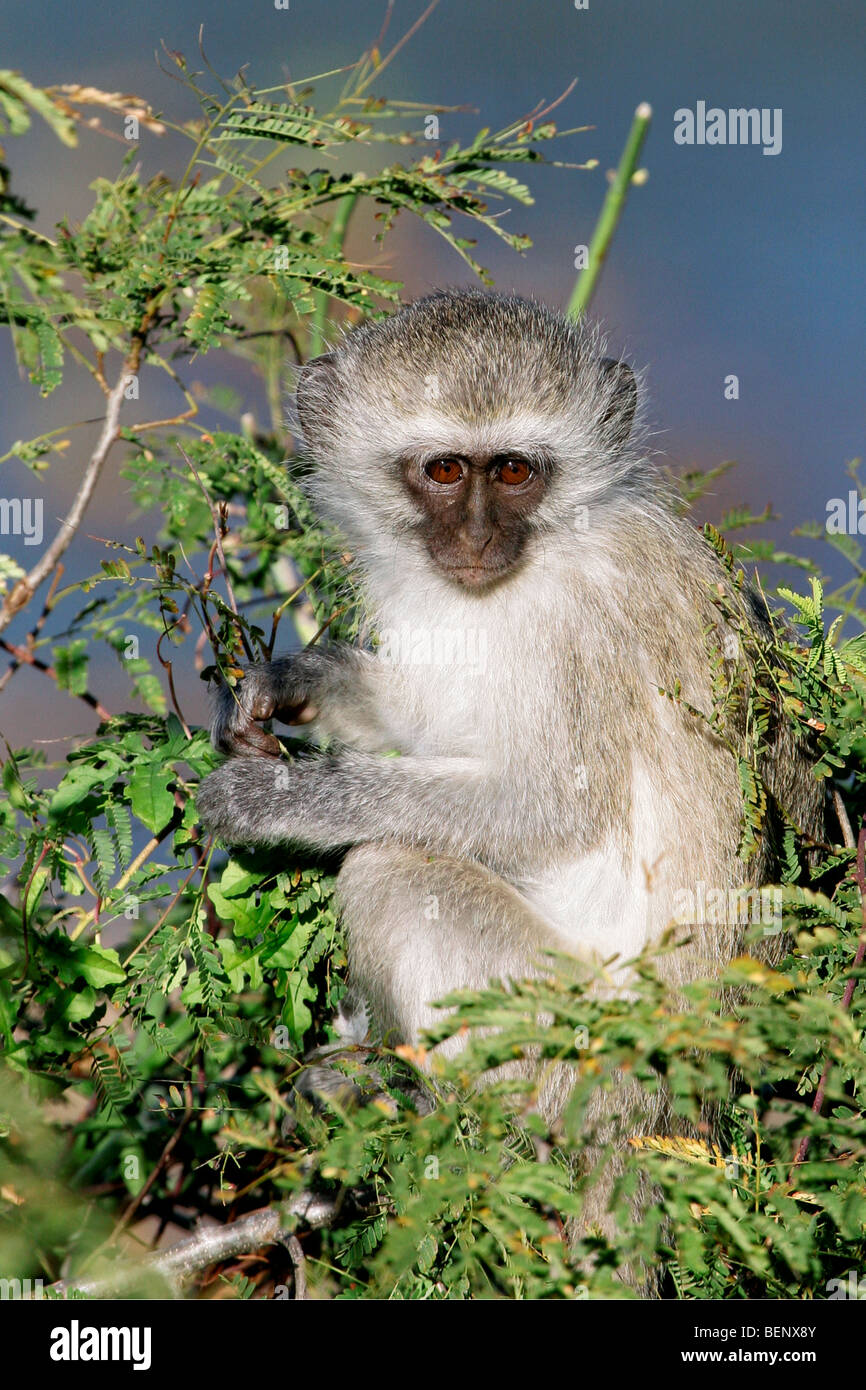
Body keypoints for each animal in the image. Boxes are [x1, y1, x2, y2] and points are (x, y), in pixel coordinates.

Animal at [196, 288, 823, 1281]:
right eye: (448, 470)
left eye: (518, 472)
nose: (480, 539)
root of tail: (663, 1105)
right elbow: (436, 718)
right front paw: (296, 680)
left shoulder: (570, 621)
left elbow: (545, 809)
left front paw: (269, 805)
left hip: (567, 1049)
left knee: (392, 874)